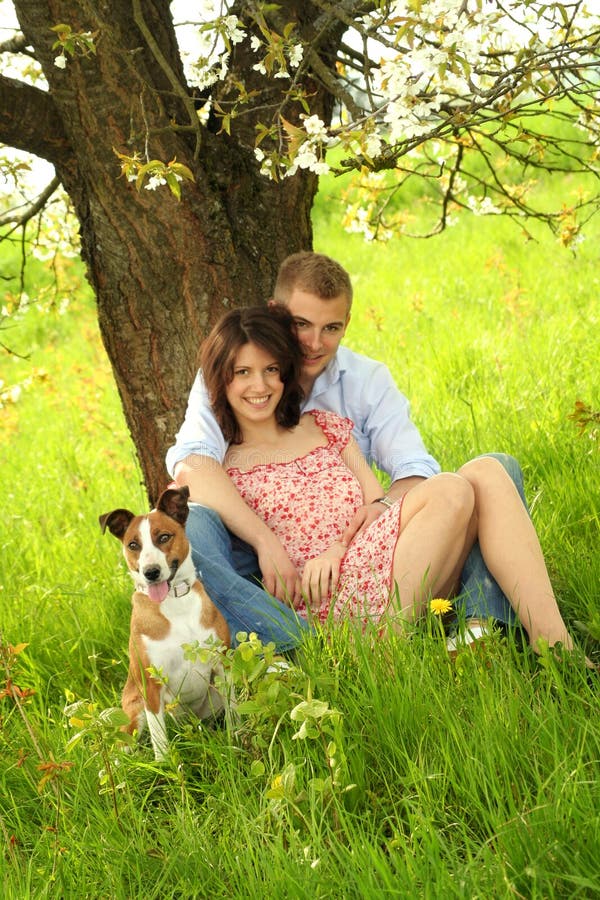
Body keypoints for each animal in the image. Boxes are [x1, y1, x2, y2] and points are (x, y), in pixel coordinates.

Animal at [98, 486, 230, 760]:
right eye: (133, 545)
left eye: (164, 537)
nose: (151, 572)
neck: (174, 603)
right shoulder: (151, 685)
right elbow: (160, 742)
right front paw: (166, 766)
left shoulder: (222, 666)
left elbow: (237, 715)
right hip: (133, 712)